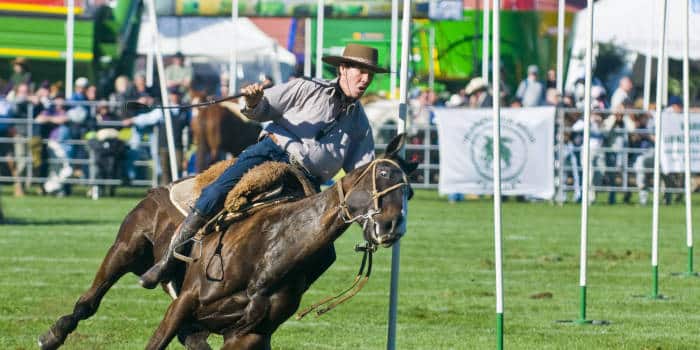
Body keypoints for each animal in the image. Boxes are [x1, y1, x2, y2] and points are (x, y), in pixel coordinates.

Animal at [38, 135, 418, 350]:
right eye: (383, 174)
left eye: (410, 191)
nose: (392, 225)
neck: (270, 254)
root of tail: (161, 186)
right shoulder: (184, 304)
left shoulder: (248, 336)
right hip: (125, 249)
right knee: (89, 301)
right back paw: (51, 335)